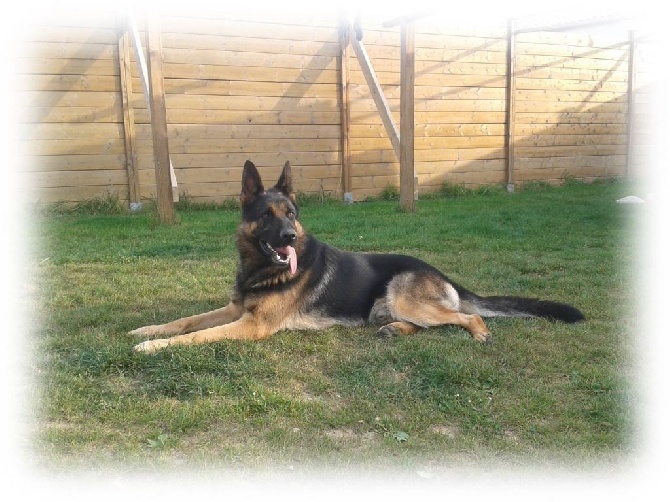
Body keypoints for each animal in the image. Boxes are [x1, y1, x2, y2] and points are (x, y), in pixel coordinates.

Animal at [131, 161, 584, 352]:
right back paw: (395, 332)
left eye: (292, 214)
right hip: (389, 308)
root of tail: (441, 273)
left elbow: (195, 335)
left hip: (404, 296)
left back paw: (478, 333)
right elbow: (186, 321)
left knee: (465, 317)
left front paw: (153, 347)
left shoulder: (251, 325)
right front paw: (147, 331)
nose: (290, 237)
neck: (259, 270)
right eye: (266, 216)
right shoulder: (233, 309)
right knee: (428, 323)